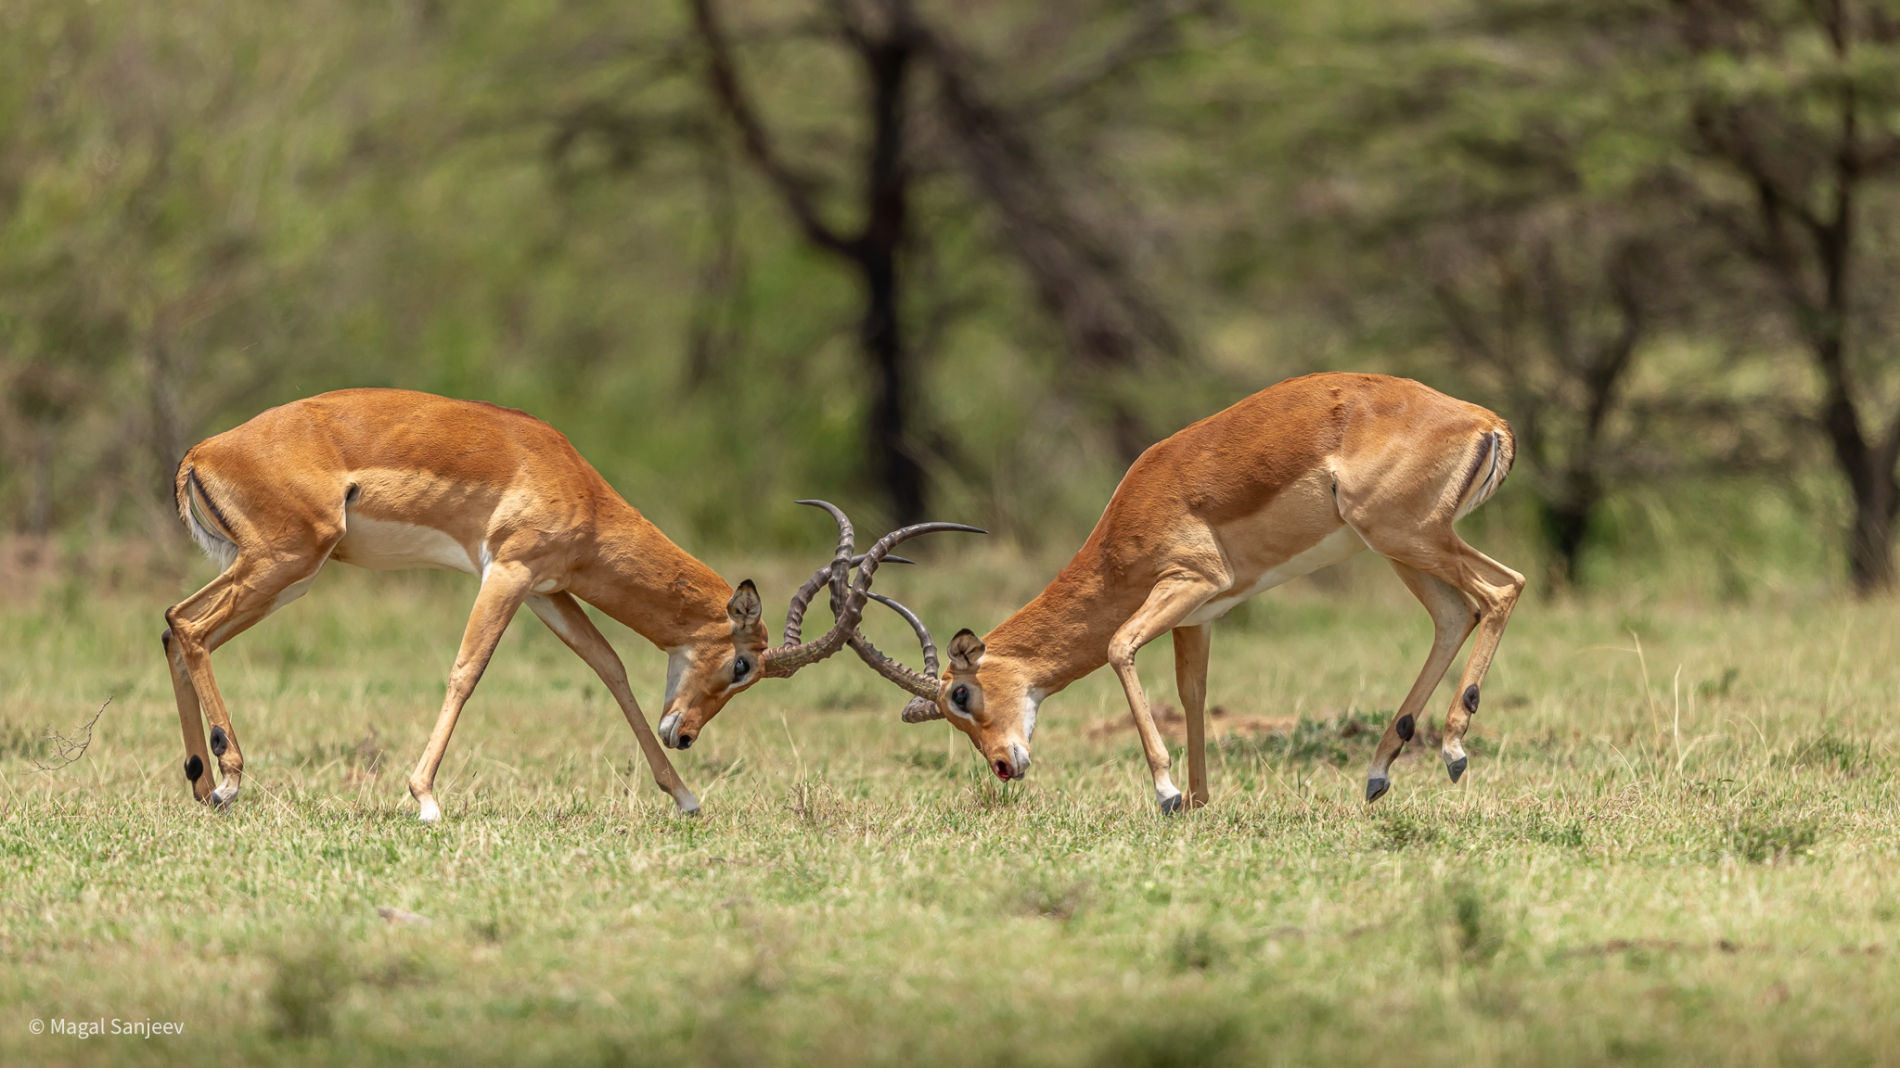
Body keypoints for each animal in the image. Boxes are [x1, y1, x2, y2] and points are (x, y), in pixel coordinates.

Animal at [163, 388, 978, 821]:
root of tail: (202, 452)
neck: (573, 481)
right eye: (744, 664)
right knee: (191, 627)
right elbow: (466, 672)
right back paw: (230, 778)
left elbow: (611, 669)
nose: (686, 735)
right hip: (289, 562)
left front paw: (684, 796)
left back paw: (203, 782)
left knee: (174, 624)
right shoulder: (507, 572)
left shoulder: (550, 592)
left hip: (276, 570)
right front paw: (424, 799)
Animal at [846, 373, 1525, 812]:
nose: (1003, 766)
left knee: (1502, 589)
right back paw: (1379, 774)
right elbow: (1192, 693)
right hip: (1399, 547)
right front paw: (1199, 801)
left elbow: (1118, 646)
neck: (1125, 523)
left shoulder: (1191, 582)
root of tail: (1485, 420)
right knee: (1452, 615)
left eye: (961, 695)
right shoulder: (1197, 616)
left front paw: (1168, 794)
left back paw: (1454, 750)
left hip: (1403, 535)